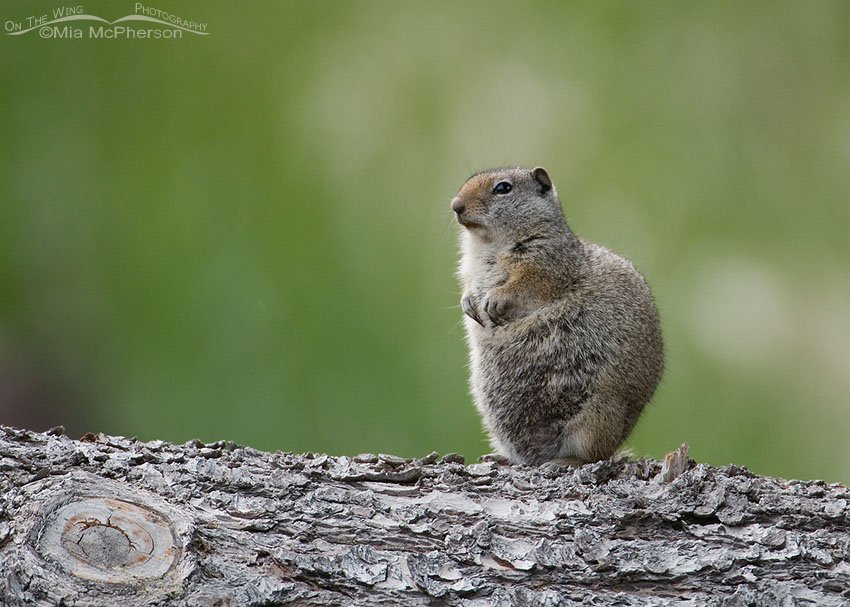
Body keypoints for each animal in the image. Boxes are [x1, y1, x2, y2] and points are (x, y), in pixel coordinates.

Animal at [452, 167, 663, 467]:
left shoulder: (546, 261)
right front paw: (468, 303)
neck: (487, 244)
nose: (455, 206)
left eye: (503, 188)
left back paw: (565, 461)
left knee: (593, 456)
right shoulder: (470, 270)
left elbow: (526, 283)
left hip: (597, 416)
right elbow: (469, 284)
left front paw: (494, 299)